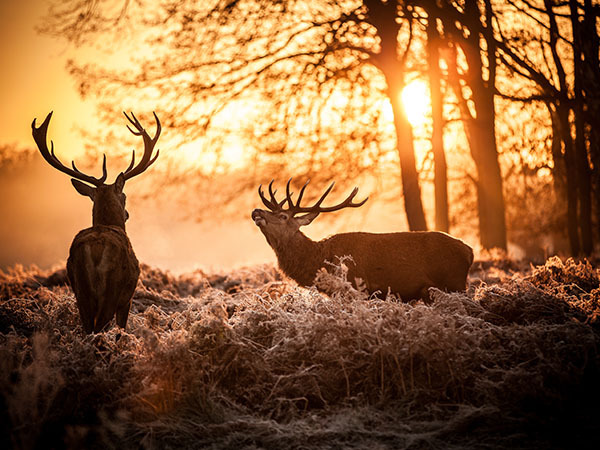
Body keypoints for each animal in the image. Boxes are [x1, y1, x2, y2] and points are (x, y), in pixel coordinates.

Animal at [31, 110, 161, 332]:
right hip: (112, 290)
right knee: (99, 327)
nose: (127, 214)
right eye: (124, 196)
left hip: (79, 289)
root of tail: (95, 249)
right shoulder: (127, 299)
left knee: (87, 328)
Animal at [252, 179, 474, 302]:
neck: (319, 260)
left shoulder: (356, 288)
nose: (256, 211)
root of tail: (469, 252)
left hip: (454, 283)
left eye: (283, 216)